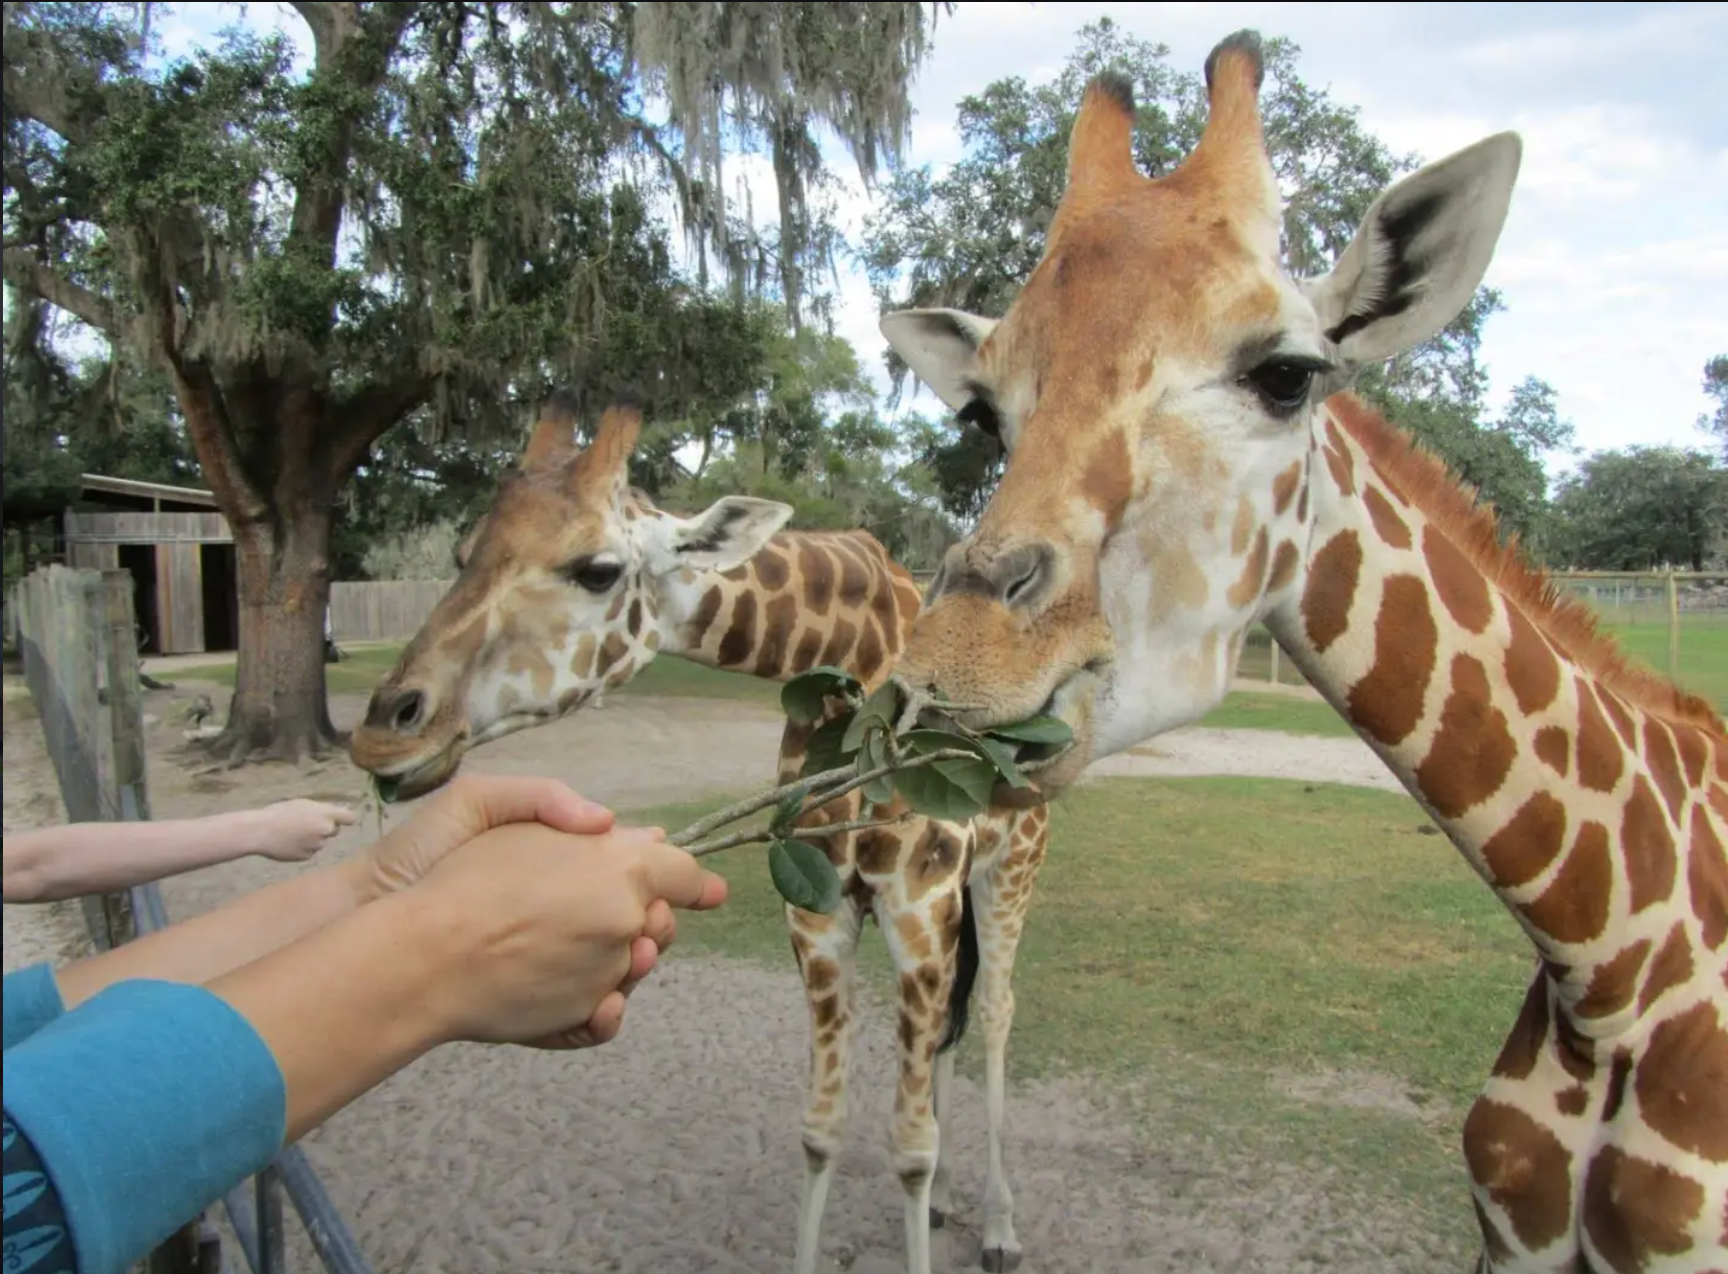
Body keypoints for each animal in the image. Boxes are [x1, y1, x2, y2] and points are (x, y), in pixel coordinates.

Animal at [347, 392, 1052, 1274]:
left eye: (597, 569)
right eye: (463, 550)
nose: (385, 733)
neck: (852, 662)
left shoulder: (916, 907)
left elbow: (909, 1149)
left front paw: (953, 1203)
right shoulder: (818, 911)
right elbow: (821, 1131)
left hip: (1010, 866)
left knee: (995, 1012)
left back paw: (1000, 1226)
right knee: (954, 1033)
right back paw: (959, 1199)